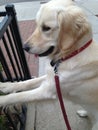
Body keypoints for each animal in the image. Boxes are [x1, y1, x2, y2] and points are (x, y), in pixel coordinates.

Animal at [0, 0, 98, 129]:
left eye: (46, 28)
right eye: (37, 25)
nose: (25, 47)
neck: (71, 55)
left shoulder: (47, 91)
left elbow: (15, 96)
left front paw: (1, 100)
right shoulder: (51, 77)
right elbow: (27, 82)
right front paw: (6, 86)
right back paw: (84, 112)